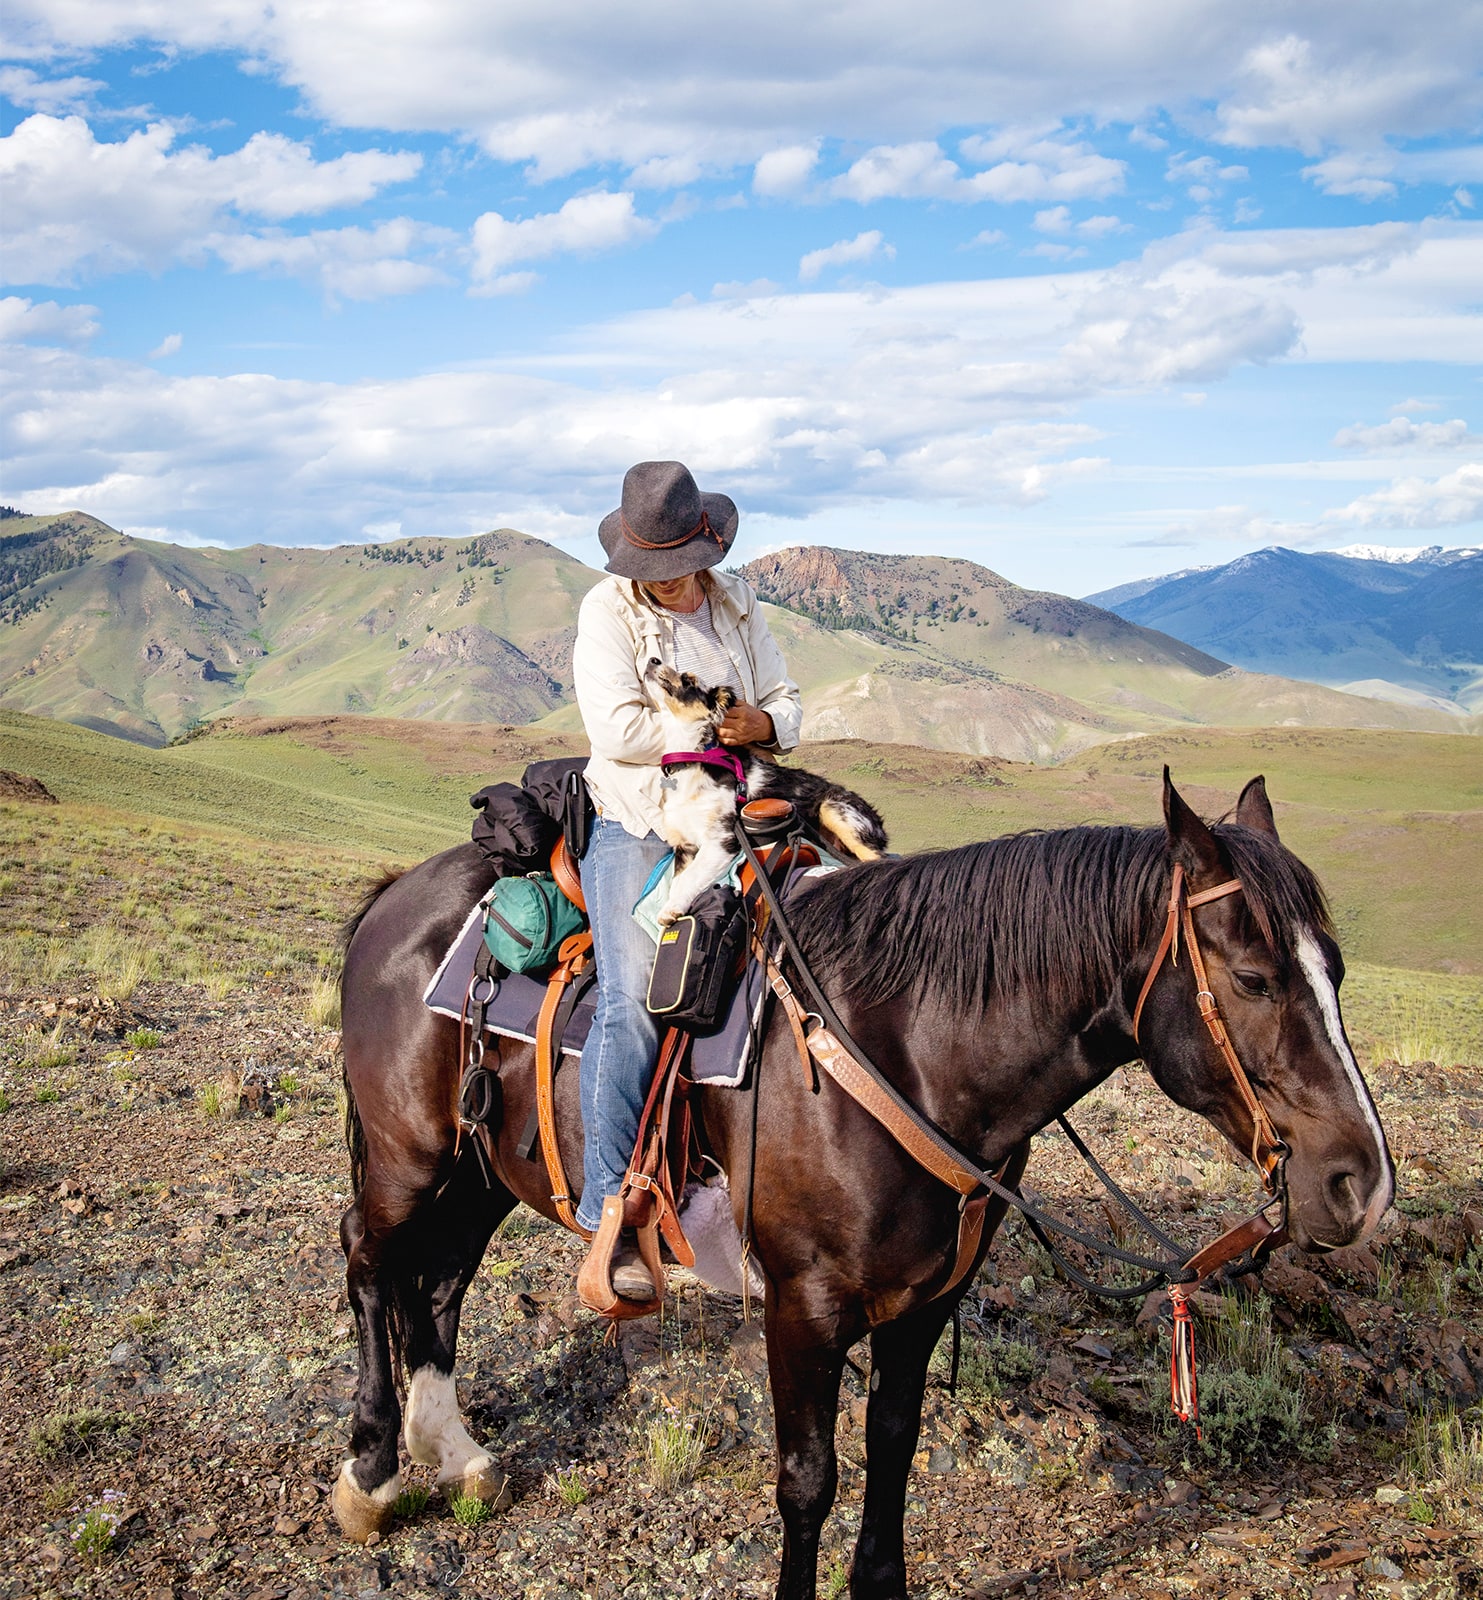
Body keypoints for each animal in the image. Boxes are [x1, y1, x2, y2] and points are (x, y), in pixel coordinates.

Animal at [332, 768, 1395, 1593]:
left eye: (1338, 969)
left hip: (480, 1168)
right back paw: (375, 1472)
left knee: (442, 1277)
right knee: (371, 1263)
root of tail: (396, 894)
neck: (910, 1048)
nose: (1361, 1184)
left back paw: (456, 1454)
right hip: (408, 1155)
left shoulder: (926, 1299)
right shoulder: (802, 1306)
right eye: (1253, 978)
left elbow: (892, 1446)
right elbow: (809, 1481)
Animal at [643, 659, 889, 928]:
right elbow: (678, 881)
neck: (692, 758)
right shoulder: (685, 846)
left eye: (689, 680)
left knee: (879, 859)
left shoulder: (721, 840)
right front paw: (671, 909)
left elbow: (691, 877)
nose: (653, 660)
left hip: (835, 811)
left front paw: (671, 910)